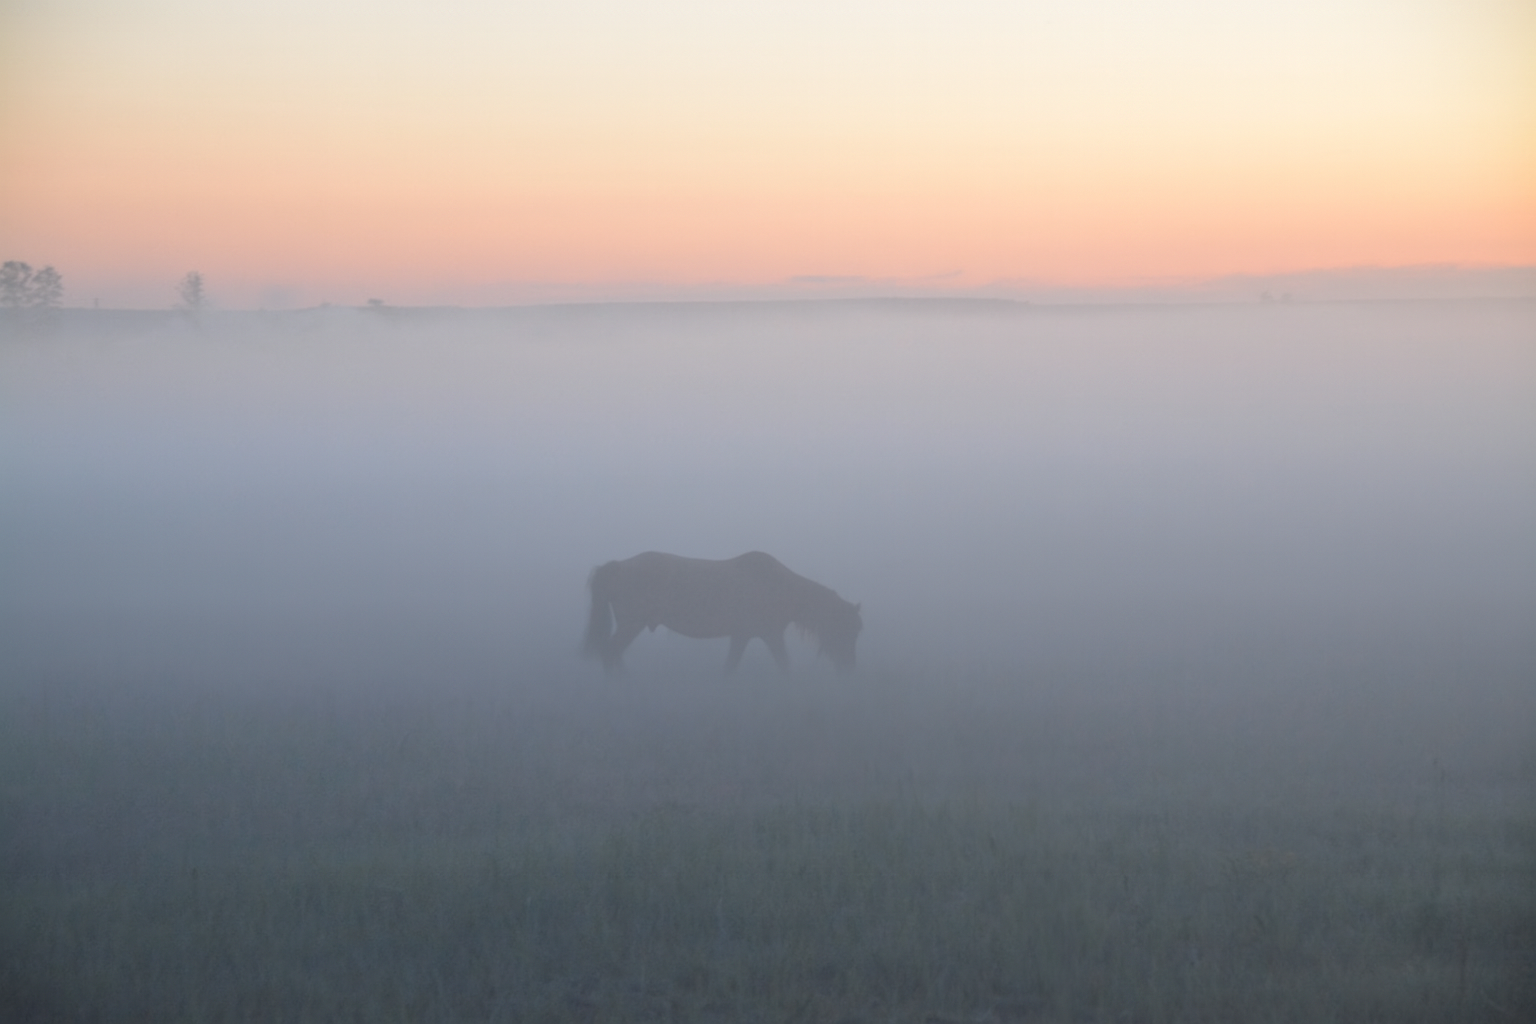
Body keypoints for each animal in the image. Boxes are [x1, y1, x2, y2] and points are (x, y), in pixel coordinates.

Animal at [583, 551, 862, 675]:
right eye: (847, 629)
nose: (850, 667)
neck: (777, 587)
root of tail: (617, 567)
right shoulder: (771, 636)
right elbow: (784, 664)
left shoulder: (741, 637)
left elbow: (729, 667)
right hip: (631, 624)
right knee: (610, 653)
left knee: (614, 654)